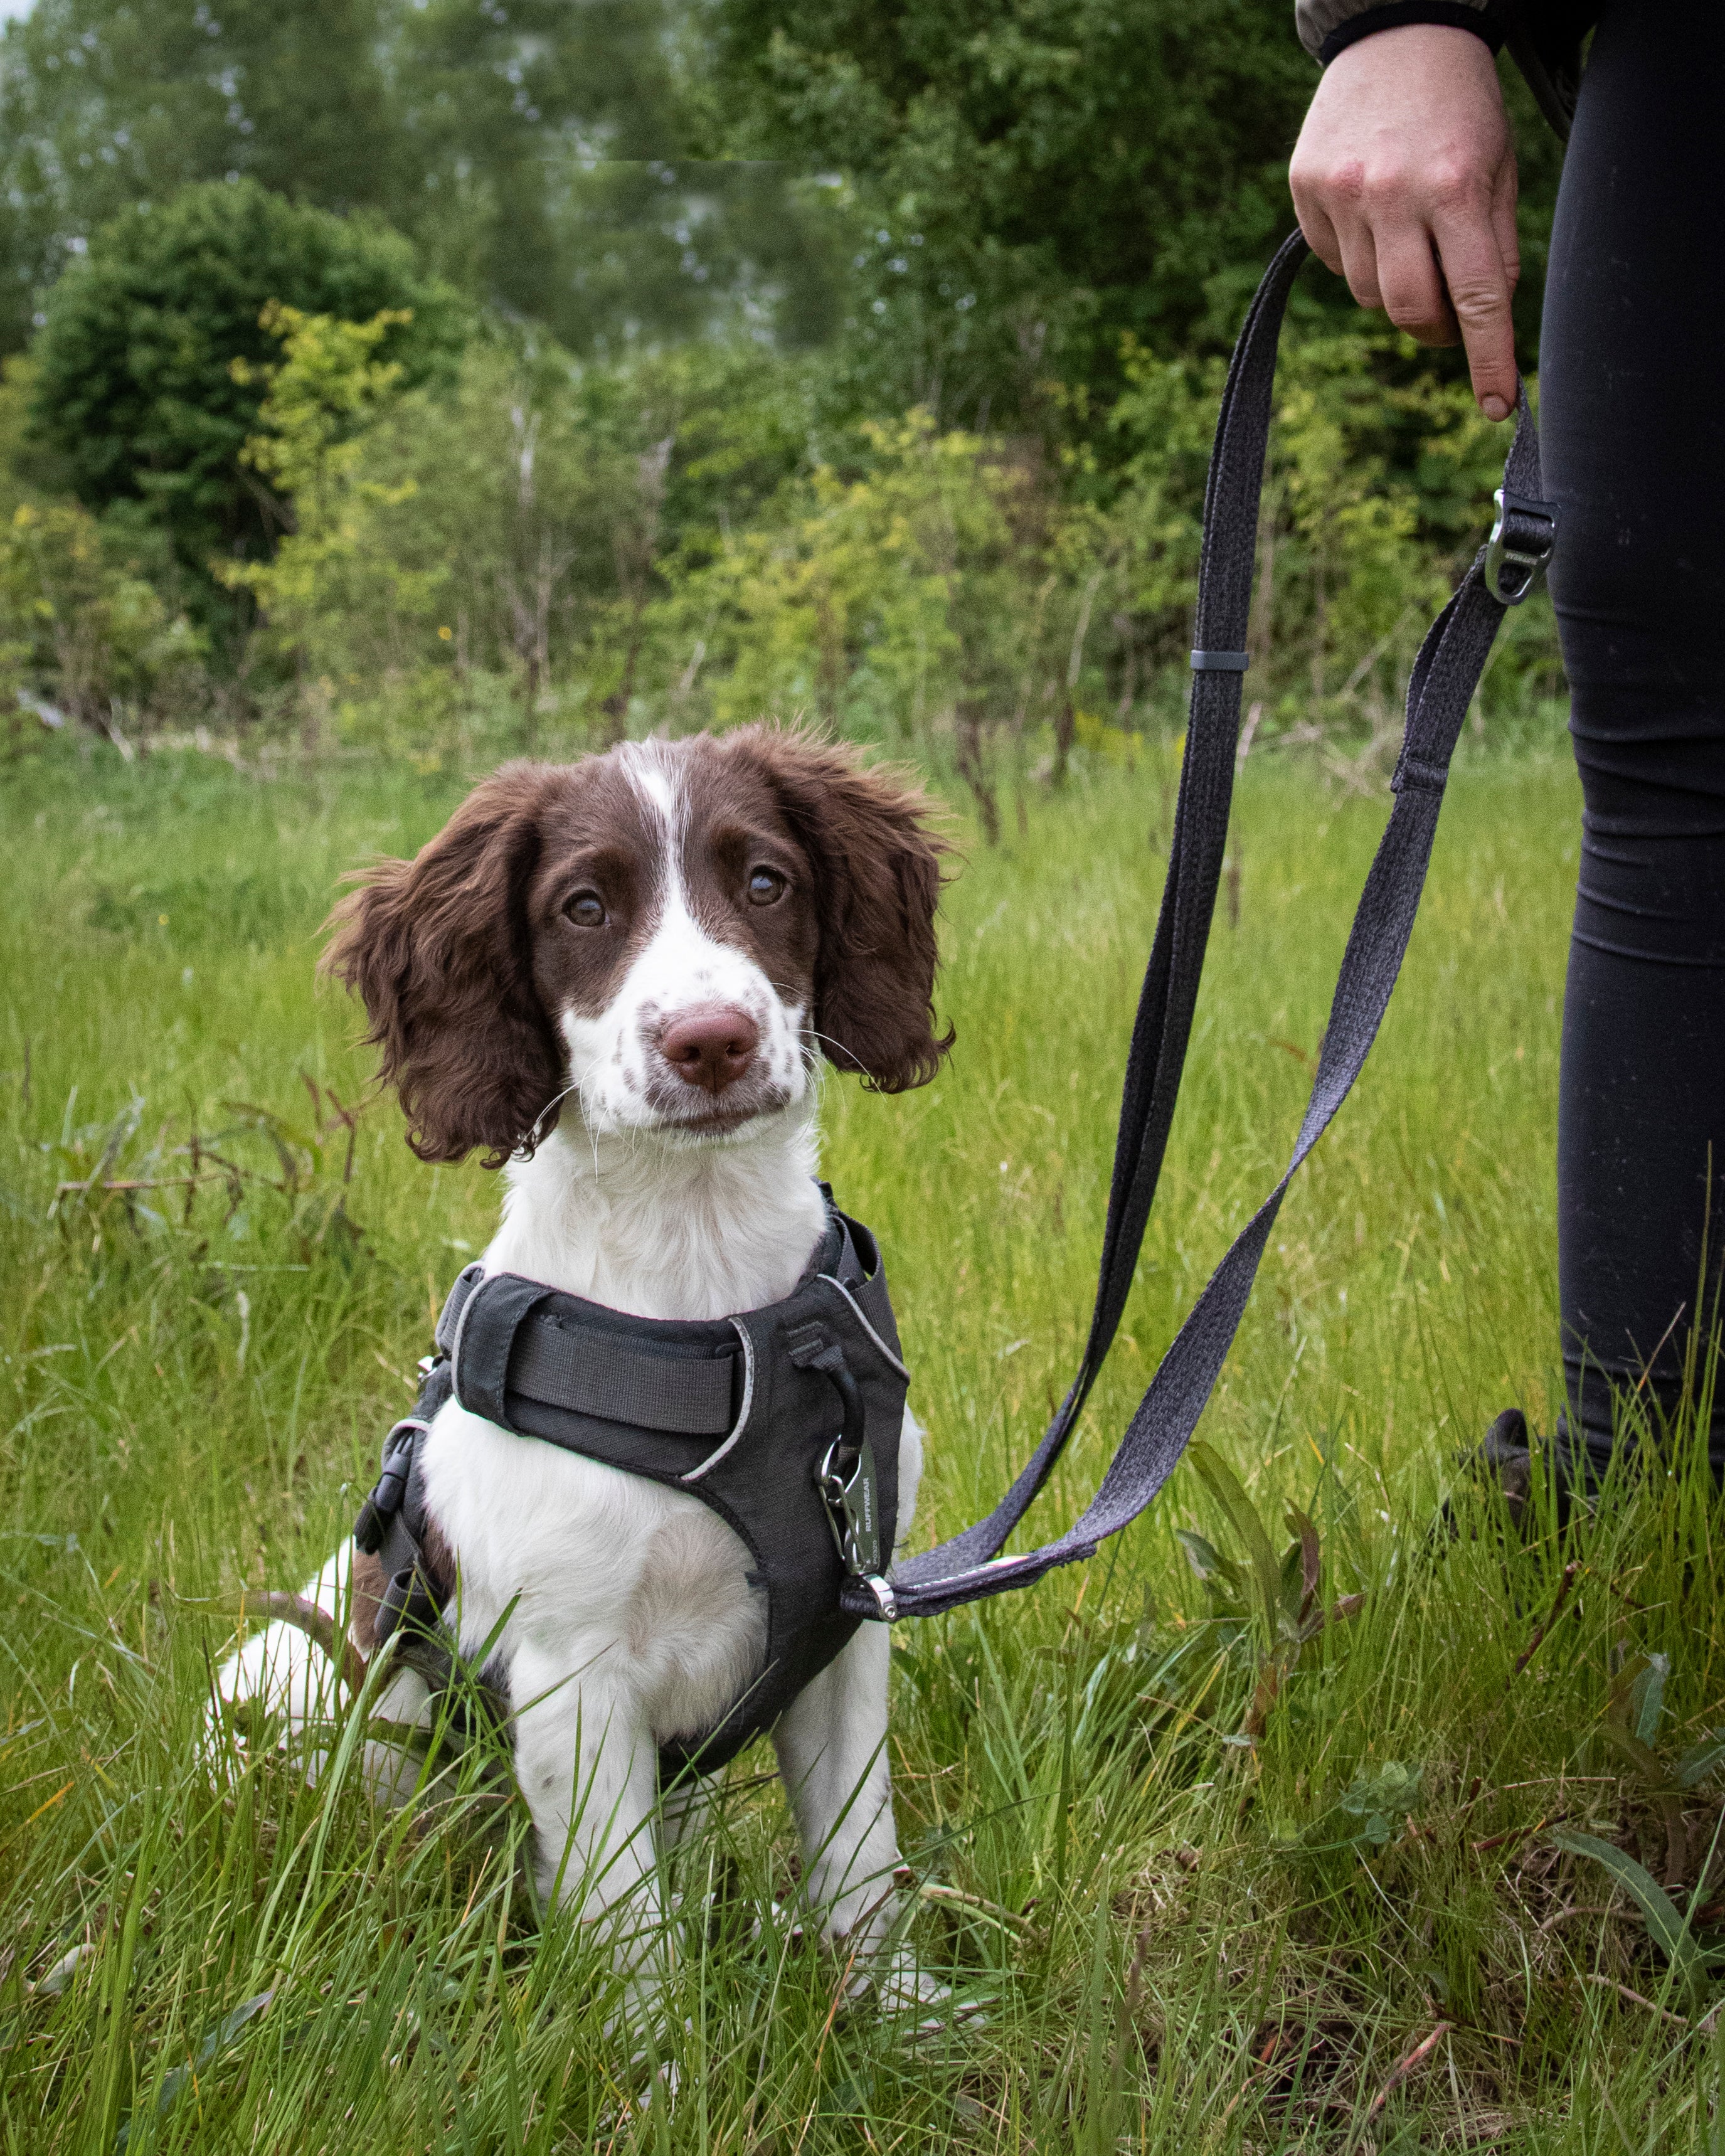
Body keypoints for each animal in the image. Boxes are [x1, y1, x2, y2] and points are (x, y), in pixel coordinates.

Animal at [215, 728, 948, 1983]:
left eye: (767, 881)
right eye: (585, 906)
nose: (711, 1043)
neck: (706, 1288)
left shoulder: (851, 1615)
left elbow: (859, 1850)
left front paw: (898, 2004)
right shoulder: (570, 1671)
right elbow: (628, 1926)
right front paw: (654, 2043)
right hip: (283, 1682)